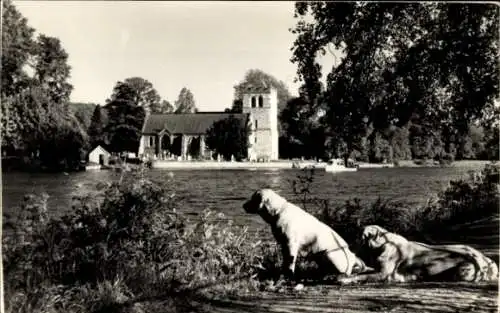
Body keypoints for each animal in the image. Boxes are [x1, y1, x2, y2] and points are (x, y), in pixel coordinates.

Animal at [338, 223, 498, 284]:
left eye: (357, 238)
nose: (347, 245)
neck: (383, 244)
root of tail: (488, 261)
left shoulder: (383, 273)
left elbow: (361, 275)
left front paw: (344, 279)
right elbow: (361, 272)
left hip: (462, 269)